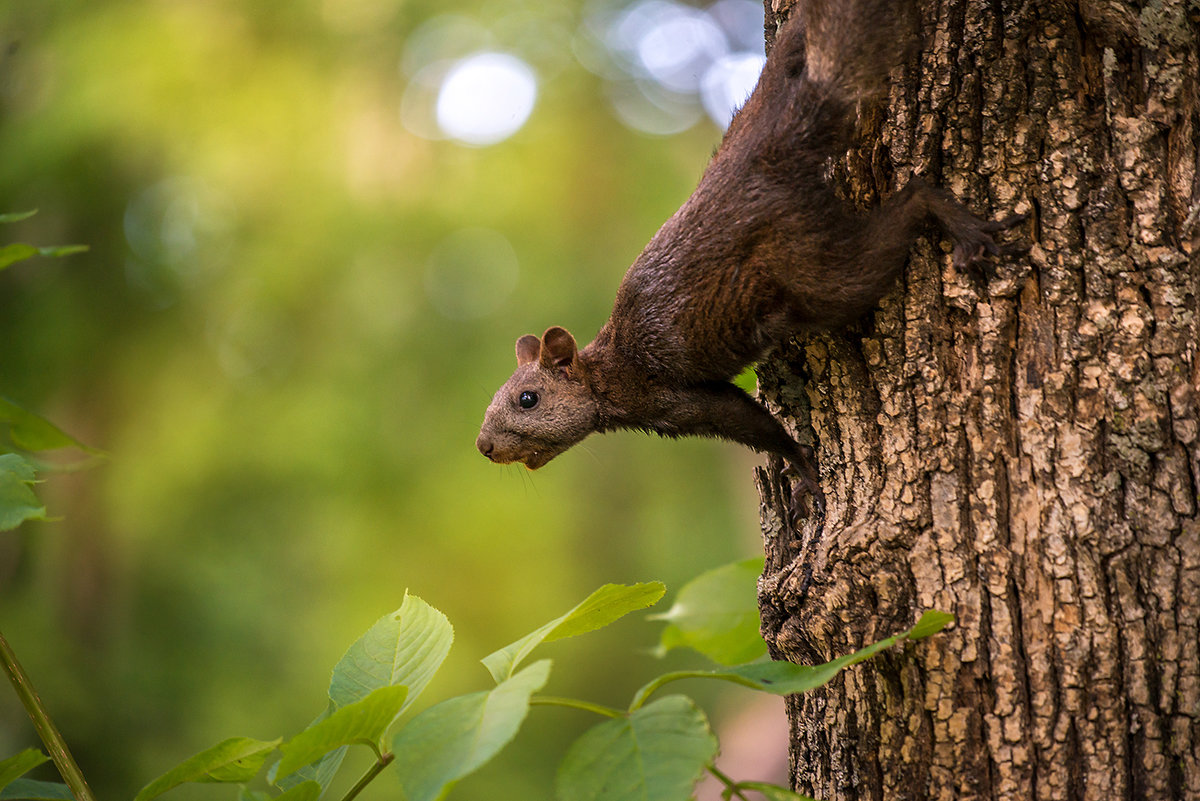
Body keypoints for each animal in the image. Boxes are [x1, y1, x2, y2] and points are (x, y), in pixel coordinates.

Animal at [472, 0, 1027, 515]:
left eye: (528, 399)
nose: (483, 446)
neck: (609, 372)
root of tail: (767, 156)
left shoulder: (676, 398)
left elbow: (757, 426)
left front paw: (801, 470)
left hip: (819, 270)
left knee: (910, 202)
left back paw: (965, 228)